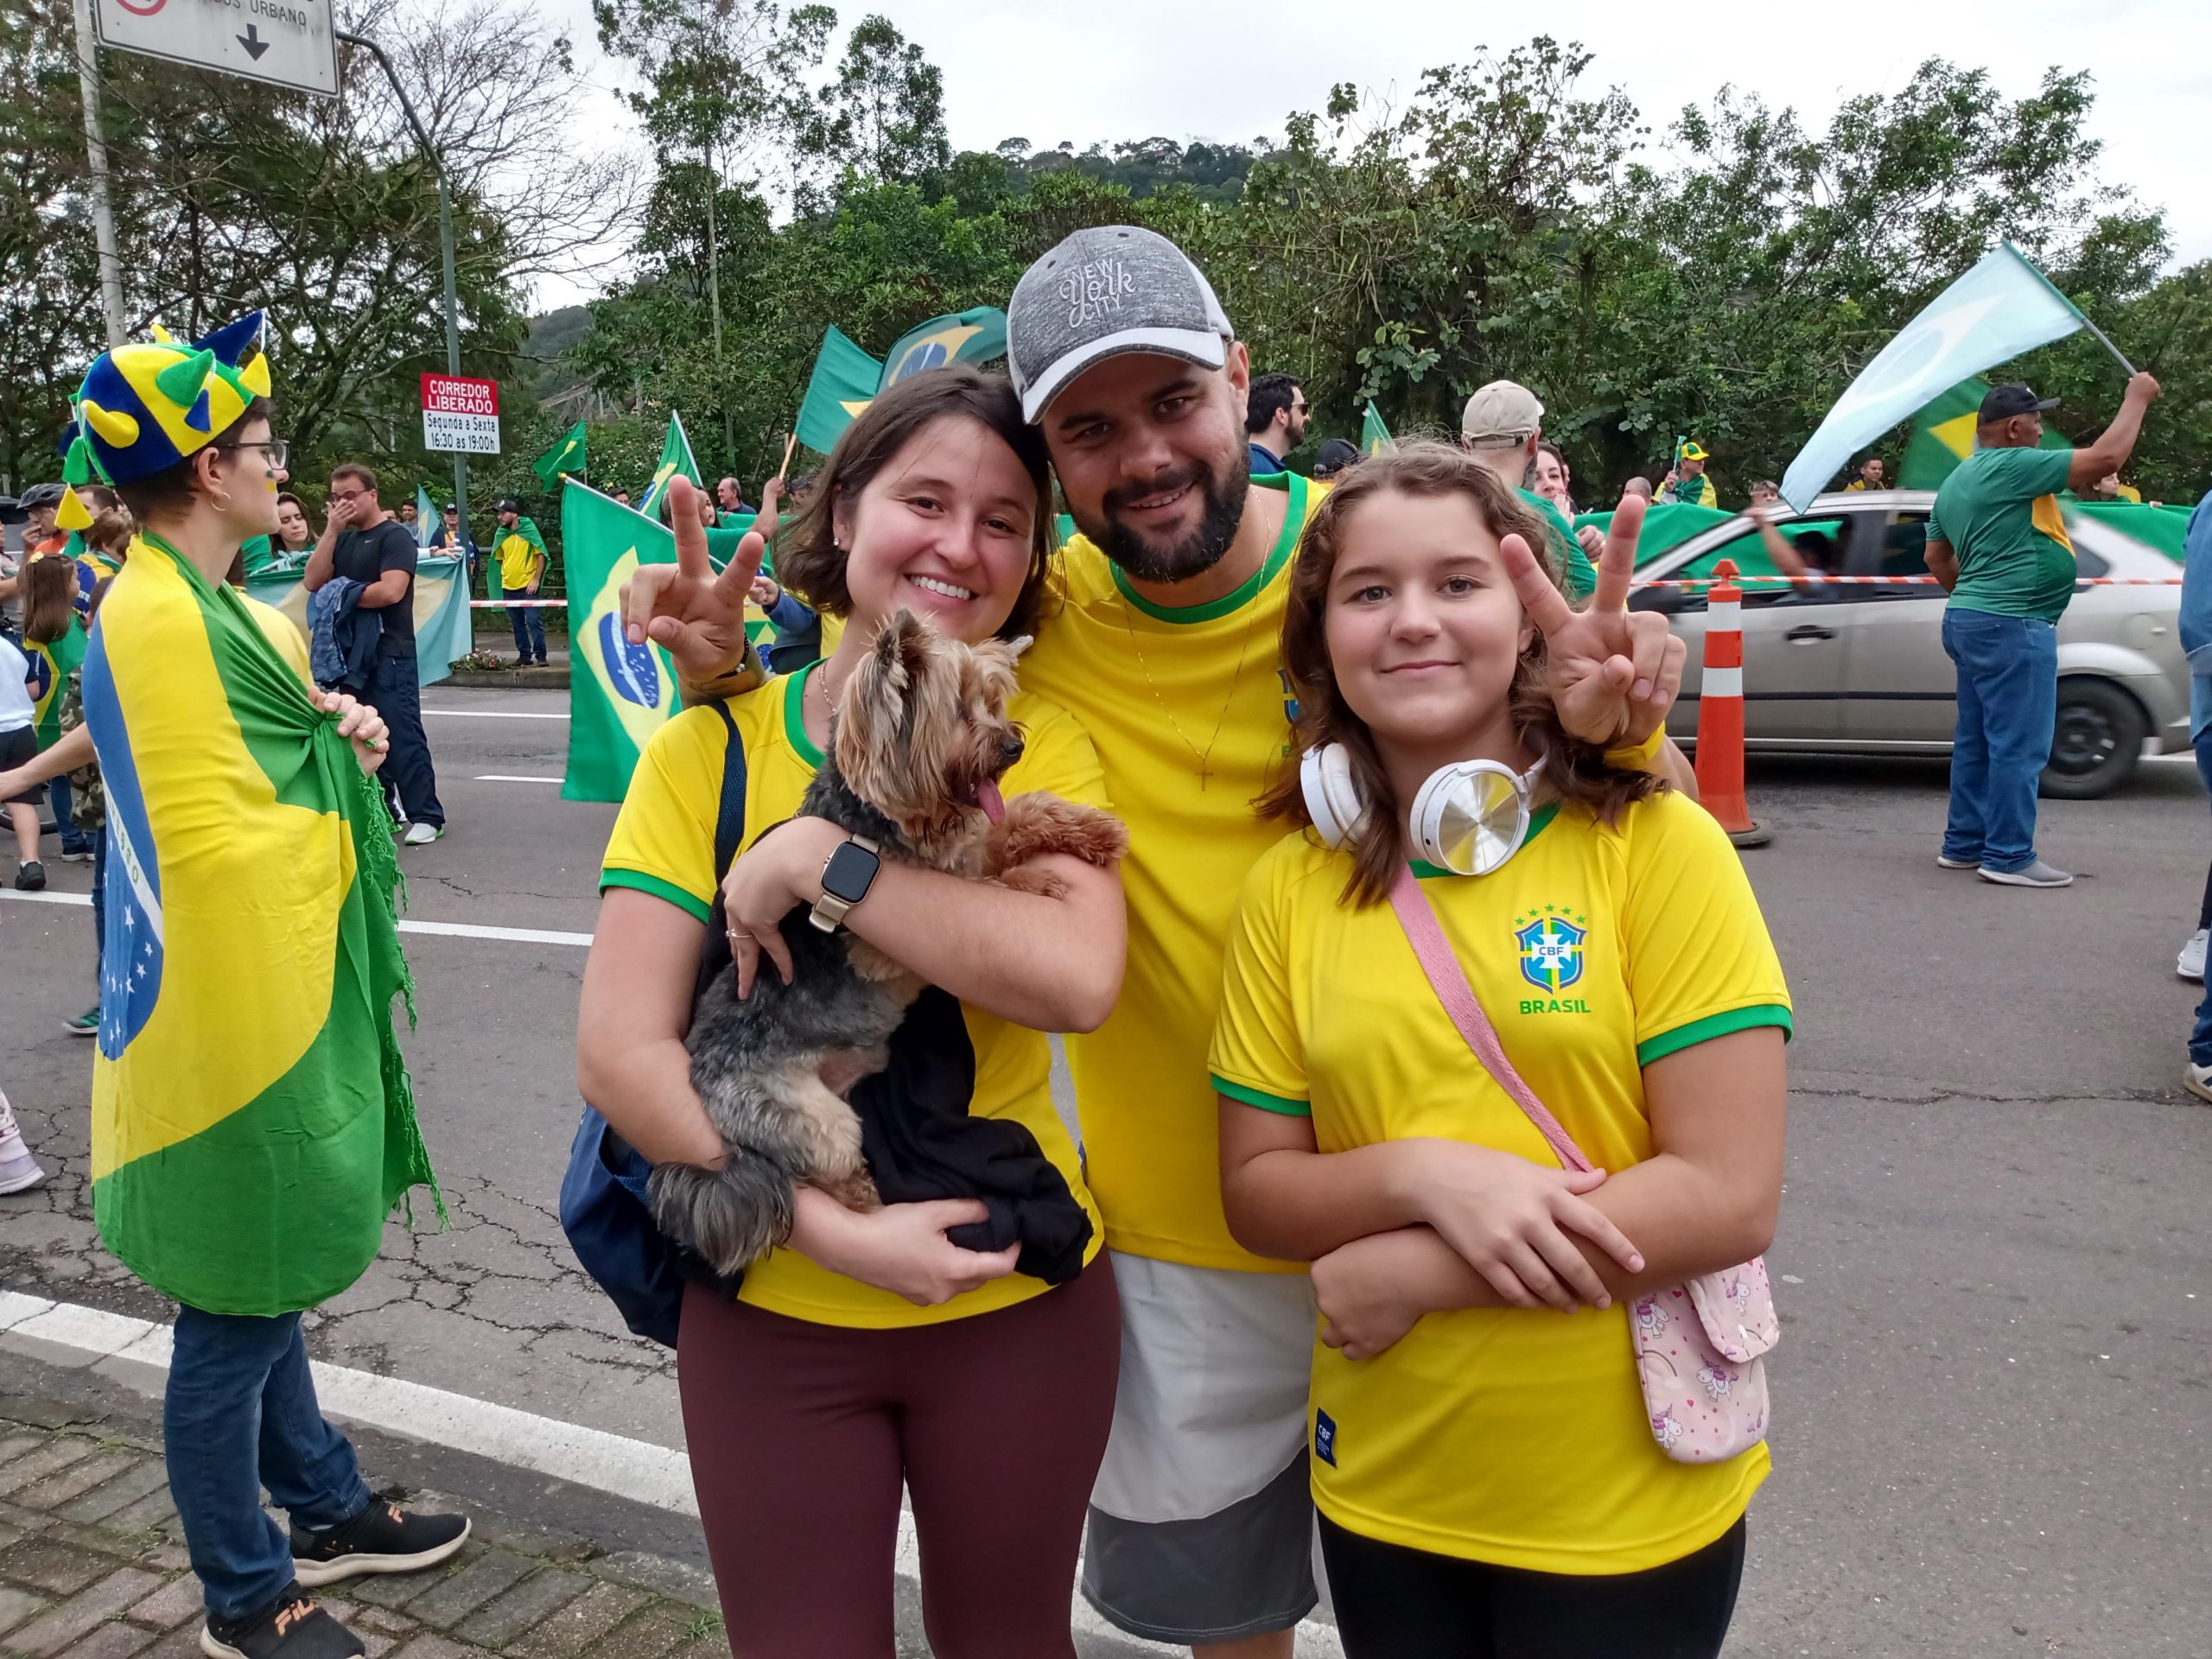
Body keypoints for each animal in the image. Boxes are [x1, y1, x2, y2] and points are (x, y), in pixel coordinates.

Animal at [645, 610, 1123, 1274]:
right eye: (957, 711)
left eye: (993, 702)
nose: (1014, 745)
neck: (889, 821)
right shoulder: (882, 942)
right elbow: (983, 882)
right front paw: (1032, 883)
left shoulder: (971, 842)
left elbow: (1018, 816)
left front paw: (1091, 829)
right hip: (809, 1118)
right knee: (825, 1175)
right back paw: (869, 1196)